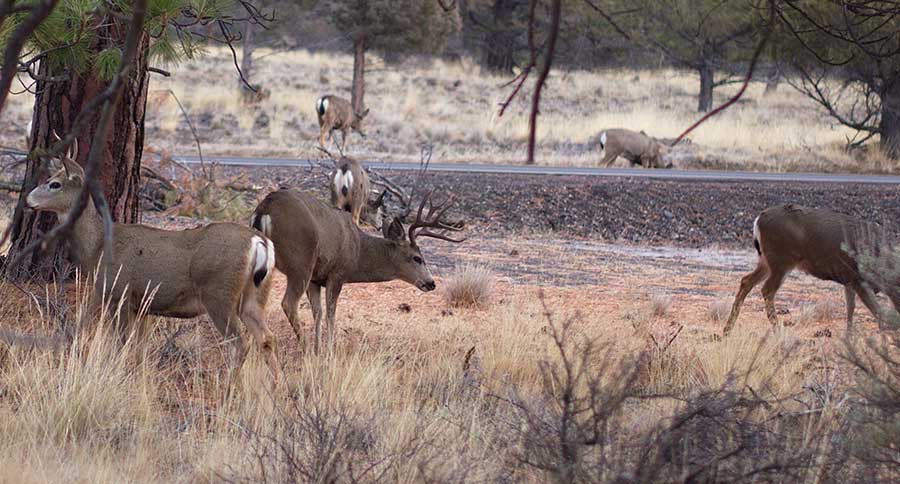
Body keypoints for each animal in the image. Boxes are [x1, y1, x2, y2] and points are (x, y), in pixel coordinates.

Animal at [25, 144, 278, 382]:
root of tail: (259, 242)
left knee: (239, 344)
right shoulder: (141, 305)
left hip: (219, 294)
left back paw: (228, 390)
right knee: (266, 339)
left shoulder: (118, 293)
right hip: (255, 295)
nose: (28, 200)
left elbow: (118, 341)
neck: (96, 247)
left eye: (54, 184)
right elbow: (139, 349)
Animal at [251, 188, 464, 352]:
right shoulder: (337, 273)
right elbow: (330, 313)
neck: (358, 250)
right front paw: (329, 351)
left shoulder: (315, 279)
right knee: (288, 303)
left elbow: (317, 313)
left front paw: (319, 350)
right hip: (301, 261)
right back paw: (303, 347)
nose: (431, 283)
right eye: (417, 258)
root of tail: (265, 210)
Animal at [724, 204, 900, 336]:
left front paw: (849, 337)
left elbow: (851, 308)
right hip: (781, 259)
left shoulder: (849, 280)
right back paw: (777, 330)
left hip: (766, 260)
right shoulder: (858, 279)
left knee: (746, 280)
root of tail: (758, 219)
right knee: (767, 289)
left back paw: (727, 330)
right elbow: (878, 311)